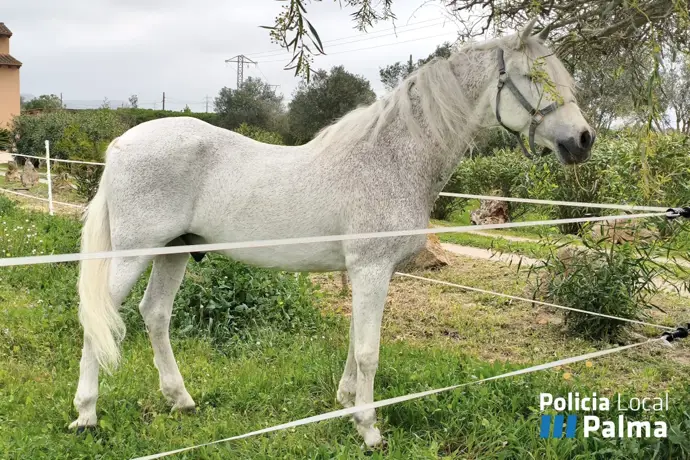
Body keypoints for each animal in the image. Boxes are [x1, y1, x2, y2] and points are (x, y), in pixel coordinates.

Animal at [69, 18, 595, 448]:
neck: (389, 159)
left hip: (174, 252)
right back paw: (86, 415)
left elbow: (355, 341)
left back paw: (180, 399)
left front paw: (345, 402)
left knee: (154, 314)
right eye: (534, 76)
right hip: (134, 254)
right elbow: (368, 351)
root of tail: (119, 145)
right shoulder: (371, 269)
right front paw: (369, 428)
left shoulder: (368, 273)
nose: (584, 140)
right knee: (99, 317)